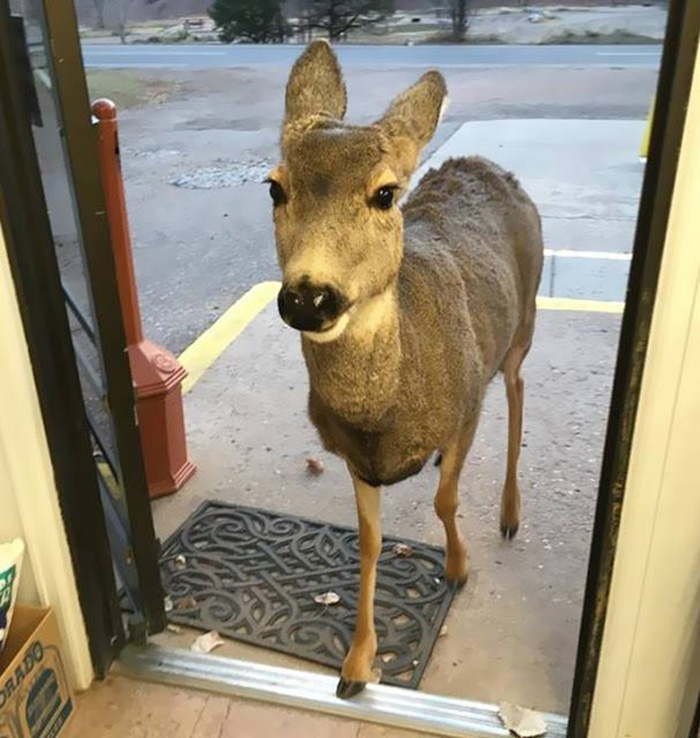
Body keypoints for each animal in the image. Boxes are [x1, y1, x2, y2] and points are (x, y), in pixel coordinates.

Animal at [268, 40, 540, 696]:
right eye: (275, 188)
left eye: (386, 193)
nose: (309, 297)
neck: (385, 413)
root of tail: (486, 164)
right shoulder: (353, 456)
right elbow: (368, 541)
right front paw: (356, 665)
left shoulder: (466, 405)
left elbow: (445, 501)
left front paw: (460, 566)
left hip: (524, 323)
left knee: (517, 389)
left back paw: (510, 514)